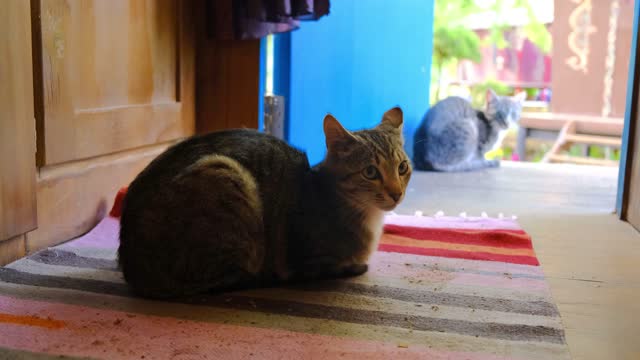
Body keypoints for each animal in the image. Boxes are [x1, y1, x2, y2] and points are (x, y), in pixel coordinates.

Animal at [119, 107, 410, 298]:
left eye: (402, 167)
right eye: (370, 172)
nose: (396, 193)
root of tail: (135, 271)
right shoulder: (304, 261)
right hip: (225, 177)